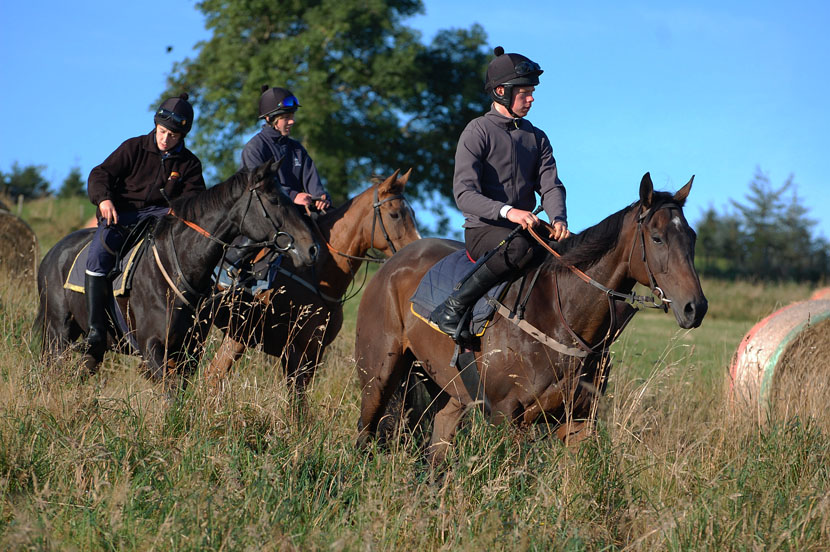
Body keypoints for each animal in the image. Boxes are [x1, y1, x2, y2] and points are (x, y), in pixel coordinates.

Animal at [35, 160, 319, 389]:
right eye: (275, 200)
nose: (311, 249)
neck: (181, 267)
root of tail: (51, 254)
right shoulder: (152, 347)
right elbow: (170, 394)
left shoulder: (189, 351)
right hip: (58, 334)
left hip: (94, 348)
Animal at [354, 173, 708, 463]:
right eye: (657, 237)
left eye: (691, 237)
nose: (696, 307)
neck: (564, 319)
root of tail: (391, 263)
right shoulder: (507, 417)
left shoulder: (579, 420)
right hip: (378, 377)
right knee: (364, 432)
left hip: (447, 393)